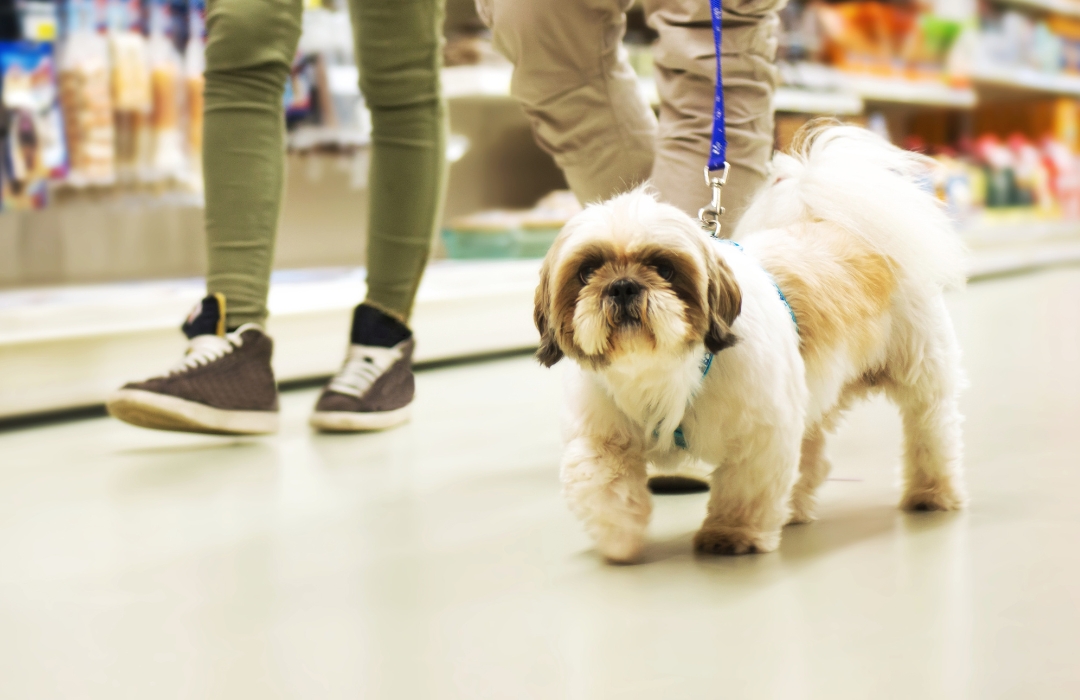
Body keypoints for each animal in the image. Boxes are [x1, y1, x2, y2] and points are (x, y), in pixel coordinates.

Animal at [535, 124, 967, 561]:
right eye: (587, 271)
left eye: (664, 268)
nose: (622, 286)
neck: (660, 372)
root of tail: (844, 226)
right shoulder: (600, 436)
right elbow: (603, 485)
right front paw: (618, 536)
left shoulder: (761, 433)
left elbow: (744, 489)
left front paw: (732, 534)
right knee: (812, 456)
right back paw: (794, 509)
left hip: (921, 377)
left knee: (931, 432)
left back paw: (932, 493)